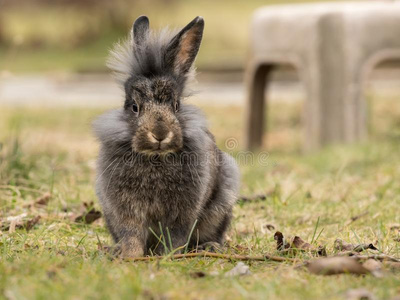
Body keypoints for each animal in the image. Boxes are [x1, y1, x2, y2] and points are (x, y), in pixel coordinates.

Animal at [92, 15, 239, 258]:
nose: (160, 134)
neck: (155, 157)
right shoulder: (125, 211)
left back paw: (209, 247)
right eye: (134, 107)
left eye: (177, 105)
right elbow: (132, 234)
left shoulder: (182, 213)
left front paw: (167, 255)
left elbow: (175, 235)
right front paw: (130, 255)